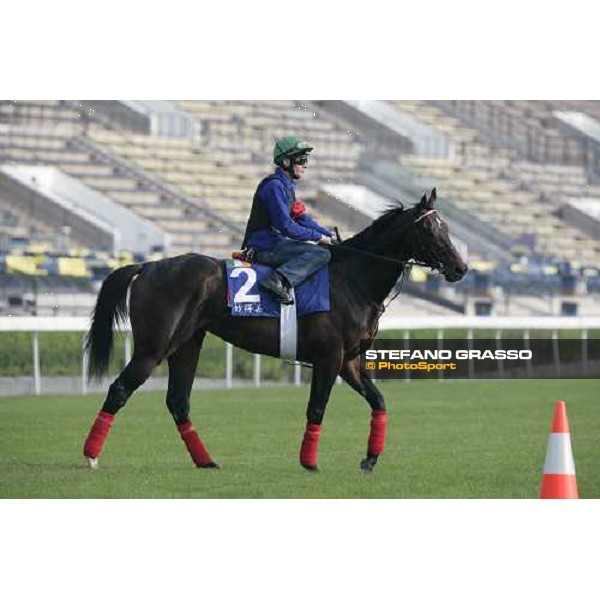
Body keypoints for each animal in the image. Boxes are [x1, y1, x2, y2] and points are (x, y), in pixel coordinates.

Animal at [82, 188, 468, 474]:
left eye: (447, 227)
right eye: (430, 230)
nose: (461, 268)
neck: (352, 279)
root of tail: (147, 266)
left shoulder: (350, 362)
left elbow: (379, 401)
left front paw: (370, 459)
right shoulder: (329, 358)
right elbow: (317, 408)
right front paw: (309, 462)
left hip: (187, 345)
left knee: (178, 401)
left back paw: (206, 460)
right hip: (153, 347)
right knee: (120, 390)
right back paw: (91, 455)